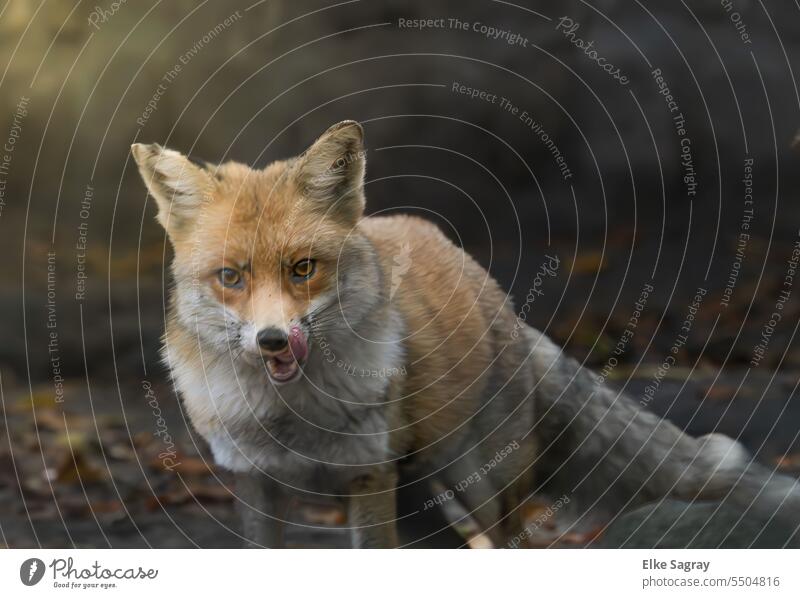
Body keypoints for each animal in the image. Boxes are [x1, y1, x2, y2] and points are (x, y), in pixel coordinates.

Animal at [131, 120, 800, 548]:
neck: (291, 417)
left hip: (476, 483)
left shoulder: (367, 480)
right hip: (425, 503)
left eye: (303, 269)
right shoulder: (255, 486)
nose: (273, 340)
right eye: (231, 277)